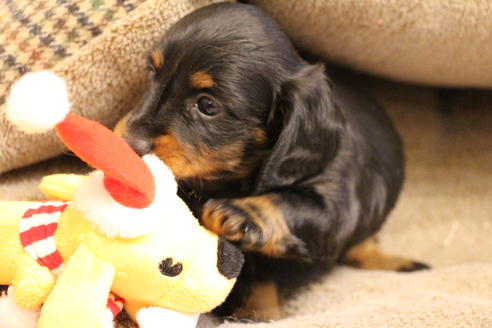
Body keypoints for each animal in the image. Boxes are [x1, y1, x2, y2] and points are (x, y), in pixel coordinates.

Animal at [117, 2, 428, 320]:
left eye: (208, 105)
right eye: (152, 73)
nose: (130, 143)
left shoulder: (337, 202)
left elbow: (292, 205)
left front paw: (241, 213)